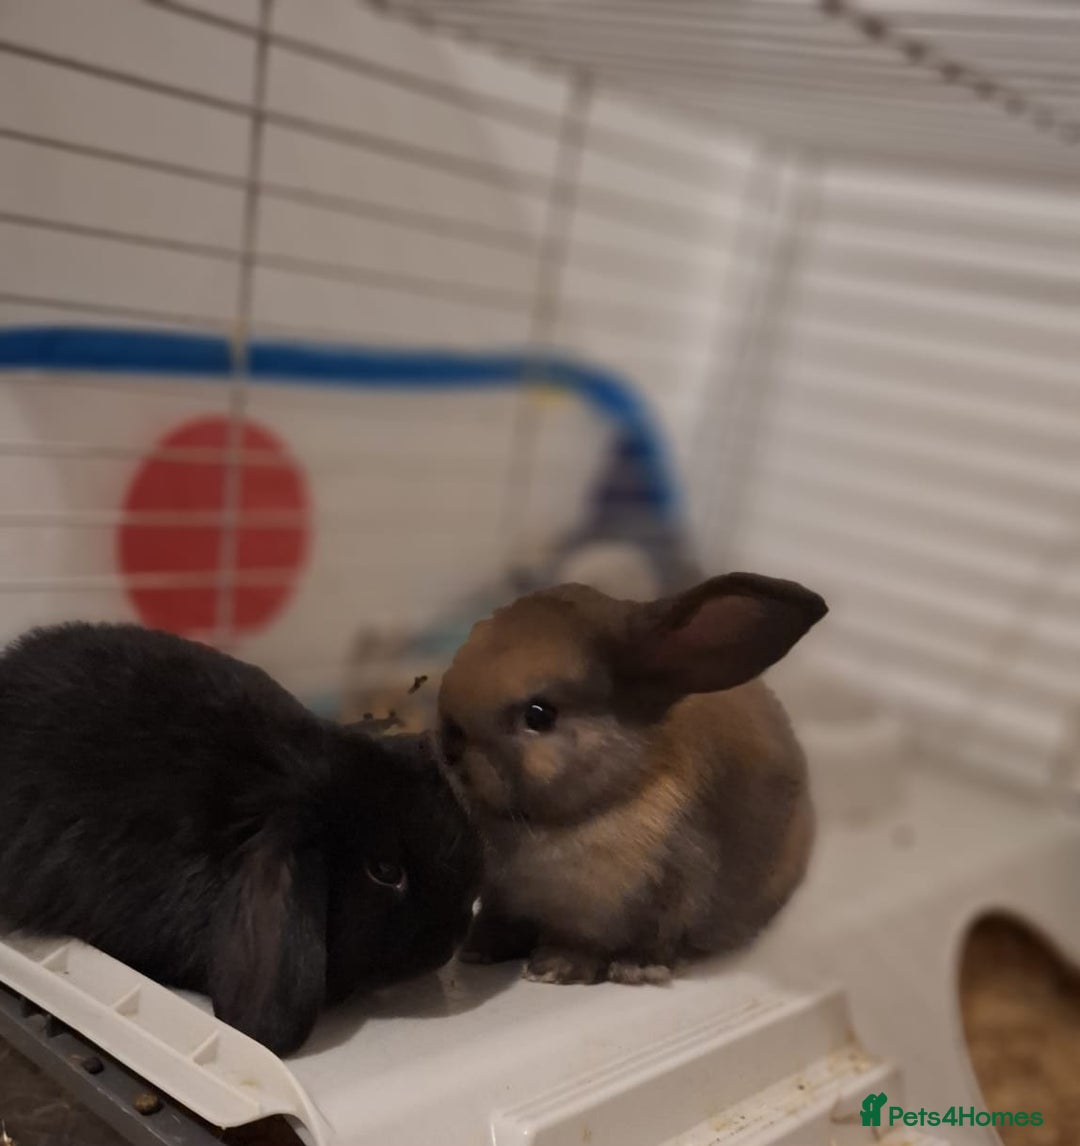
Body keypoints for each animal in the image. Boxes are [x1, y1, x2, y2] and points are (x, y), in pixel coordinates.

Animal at [437, 572, 827, 986]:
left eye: (539, 715)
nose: (449, 744)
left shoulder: (655, 900)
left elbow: (605, 942)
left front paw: (561, 968)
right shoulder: (501, 899)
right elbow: (499, 921)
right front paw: (477, 951)